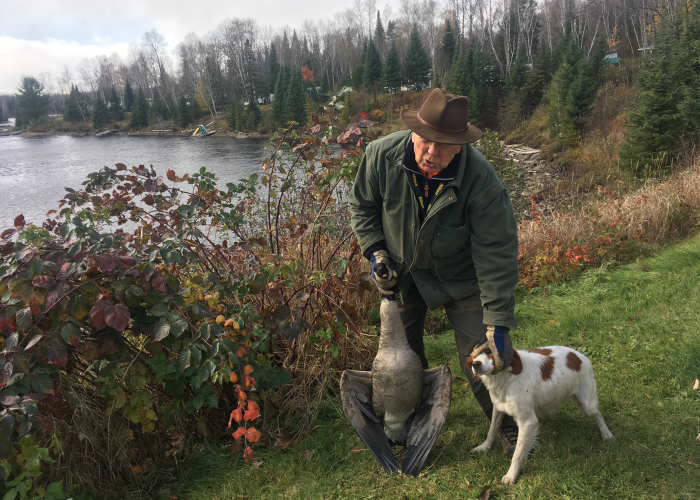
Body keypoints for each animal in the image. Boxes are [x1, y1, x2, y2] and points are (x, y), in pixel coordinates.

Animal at [470, 348, 612, 484]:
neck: (506, 378)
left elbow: (517, 454)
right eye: (474, 355)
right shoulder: (498, 408)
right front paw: (483, 447)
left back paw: (607, 434)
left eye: (491, 352)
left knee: (598, 415)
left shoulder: (528, 422)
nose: (475, 364)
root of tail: (580, 356)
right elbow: (492, 430)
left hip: (587, 404)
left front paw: (511, 476)